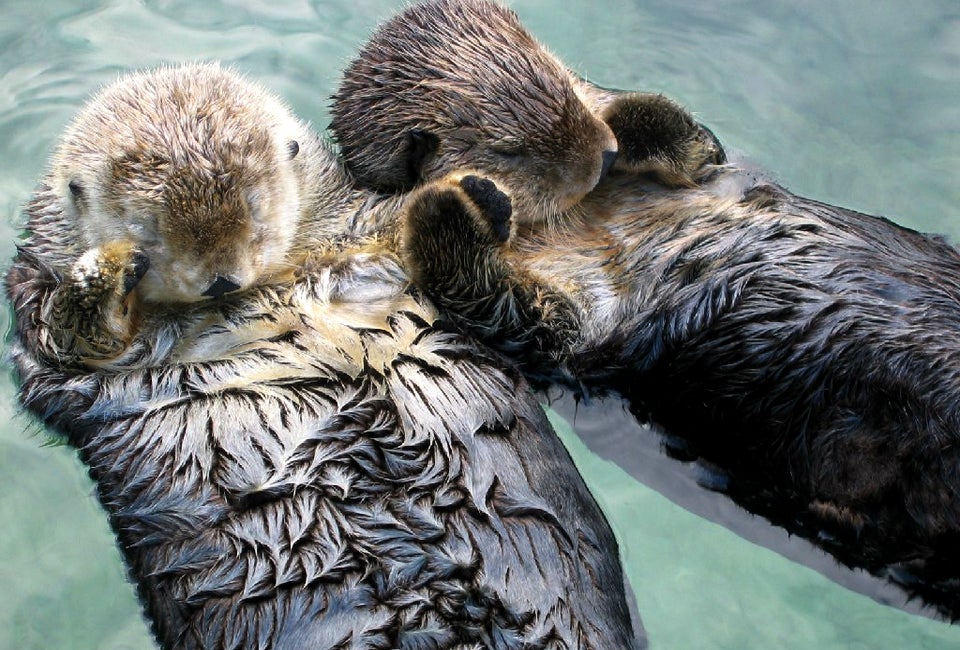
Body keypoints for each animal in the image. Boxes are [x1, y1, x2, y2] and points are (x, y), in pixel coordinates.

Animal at [7, 64, 645, 649]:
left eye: (255, 209)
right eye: (148, 230)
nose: (219, 280)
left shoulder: (364, 234)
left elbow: (544, 324)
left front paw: (472, 197)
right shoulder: (46, 331)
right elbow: (69, 340)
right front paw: (107, 268)